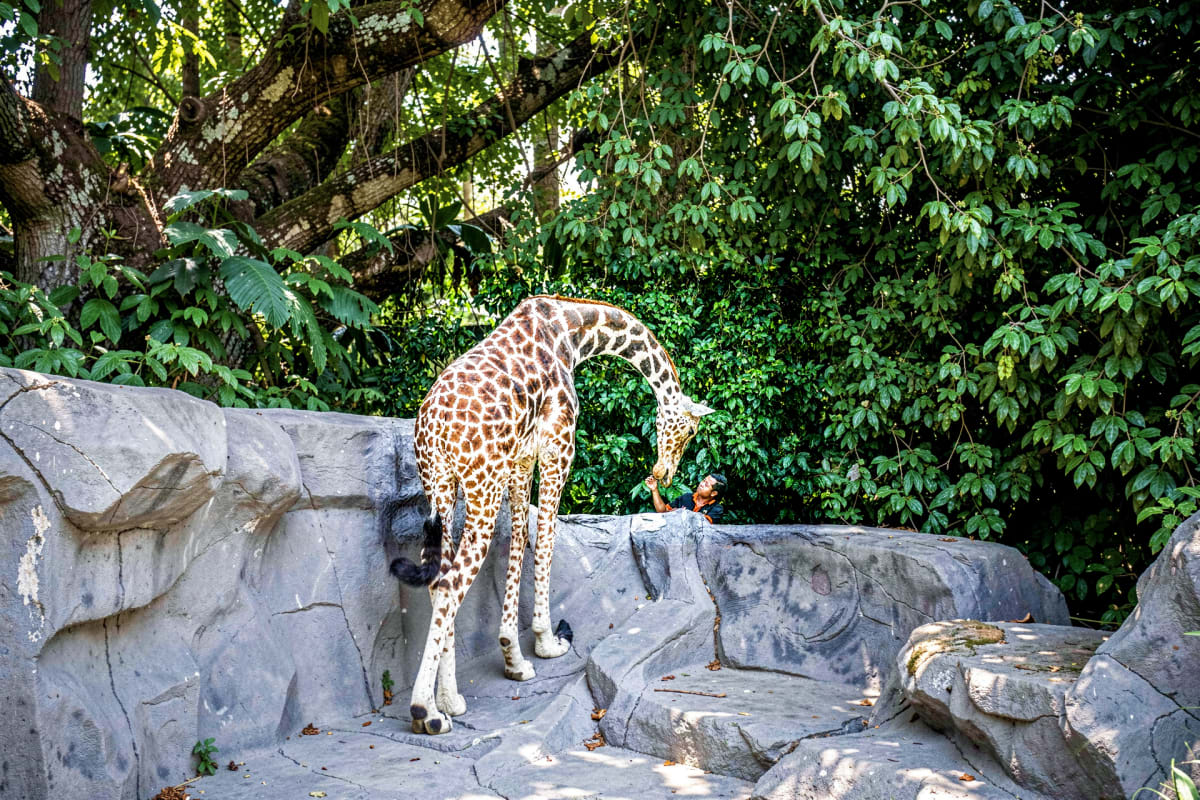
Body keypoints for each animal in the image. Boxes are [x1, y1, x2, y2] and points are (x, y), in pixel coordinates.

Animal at [389, 294, 714, 735]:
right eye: (691, 431)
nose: (665, 472)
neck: (574, 331)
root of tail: (433, 426)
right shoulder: (559, 445)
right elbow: (545, 537)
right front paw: (546, 642)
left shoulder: (520, 458)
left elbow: (519, 538)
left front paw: (514, 657)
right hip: (480, 486)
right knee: (451, 582)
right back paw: (427, 712)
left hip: (440, 486)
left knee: (438, 577)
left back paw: (451, 701)